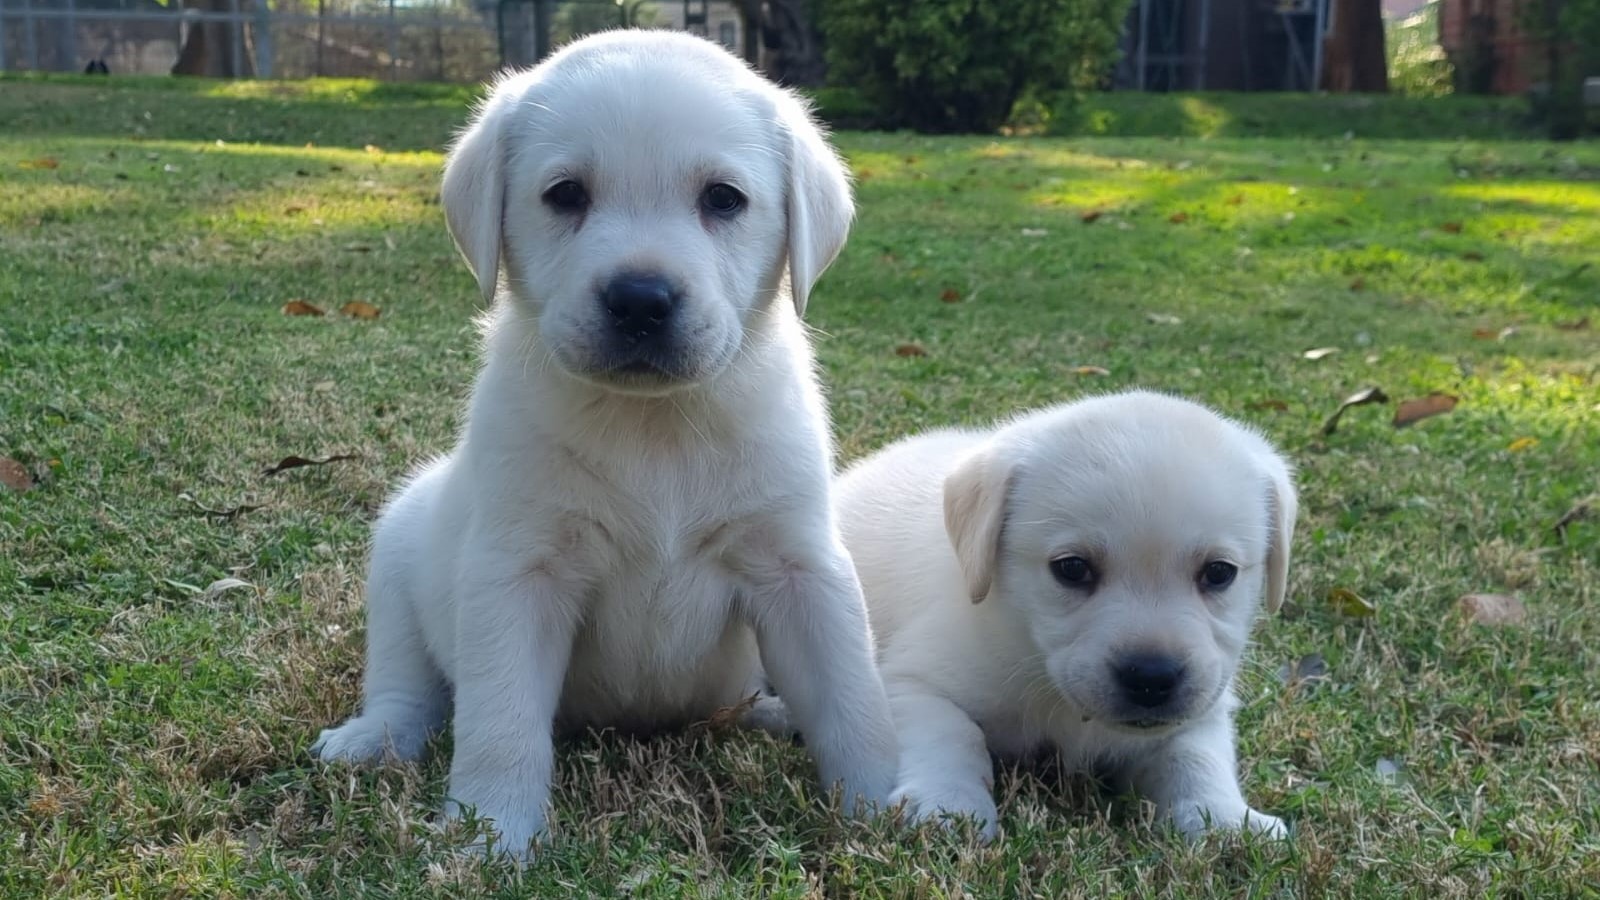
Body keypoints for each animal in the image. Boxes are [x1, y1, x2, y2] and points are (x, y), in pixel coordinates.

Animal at [305, 29, 896, 851]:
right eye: (565, 195)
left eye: (724, 198)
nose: (640, 301)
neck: (654, 427)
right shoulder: (519, 575)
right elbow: (501, 724)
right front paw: (491, 836)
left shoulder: (800, 567)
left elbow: (852, 701)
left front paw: (888, 807)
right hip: (398, 553)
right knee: (407, 684)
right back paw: (374, 737)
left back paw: (774, 712)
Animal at [832, 389, 1292, 839]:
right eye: (1071, 568)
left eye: (1219, 572)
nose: (1151, 677)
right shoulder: (912, 683)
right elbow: (951, 732)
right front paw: (947, 803)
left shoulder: (1203, 709)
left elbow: (1197, 757)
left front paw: (1228, 820)